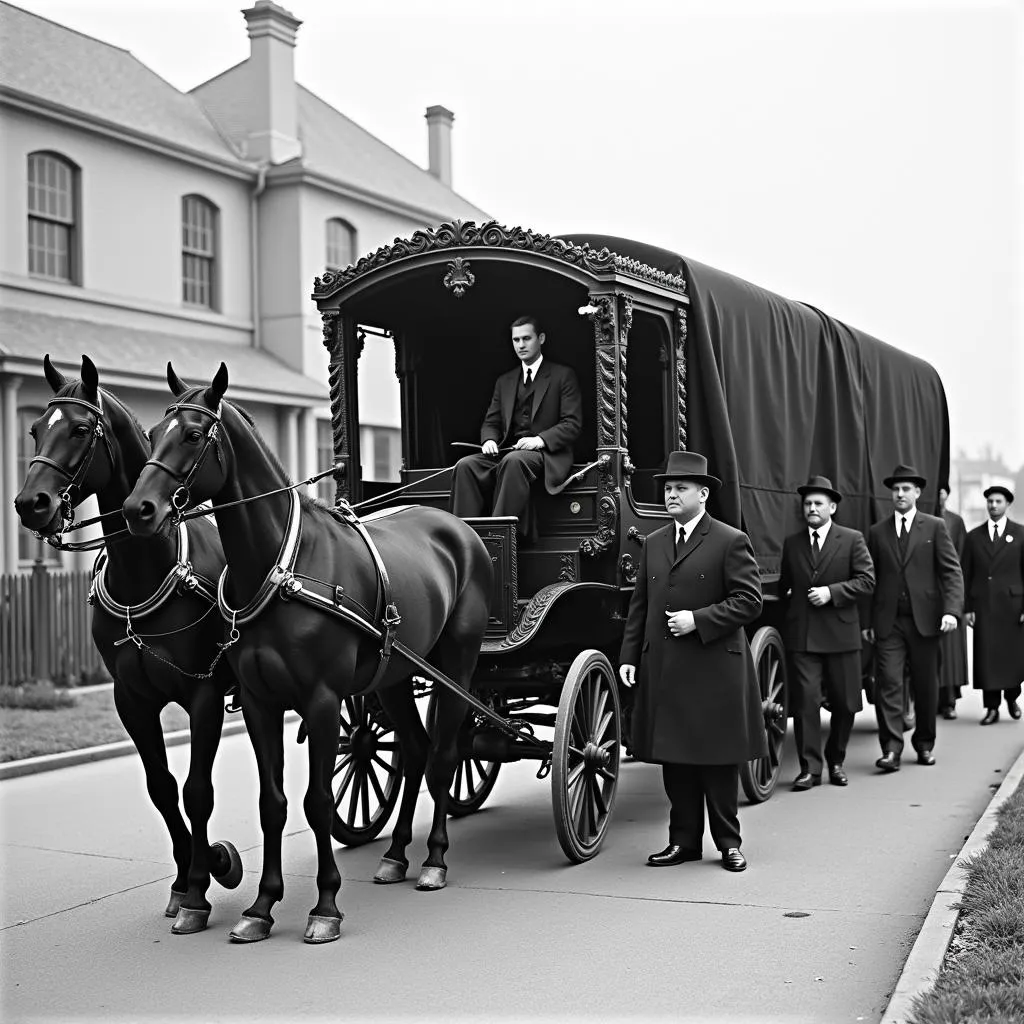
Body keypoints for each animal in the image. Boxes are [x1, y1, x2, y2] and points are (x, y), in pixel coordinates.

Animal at [14, 354, 241, 937]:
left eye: (79, 428)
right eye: (33, 428)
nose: (29, 504)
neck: (149, 571)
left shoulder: (205, 695)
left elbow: (197, 790)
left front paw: (206, 878)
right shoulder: (131, 700)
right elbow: (162, 787)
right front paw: (185, 880)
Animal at [123, 362, 491, 942]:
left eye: (194, 435)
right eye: (154, 432)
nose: (138, 509)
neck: (281, 565)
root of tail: (458, 528)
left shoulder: (320, 701)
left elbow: (318, 801)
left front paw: (325, 905)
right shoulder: (259, 702)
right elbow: (272, 803)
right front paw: (261, 906)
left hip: (457, 662)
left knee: (443, 756)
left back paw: (433, 859)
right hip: (393, 674)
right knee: (414, 749)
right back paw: (395, 855)